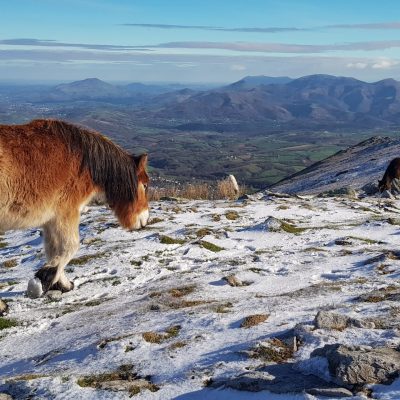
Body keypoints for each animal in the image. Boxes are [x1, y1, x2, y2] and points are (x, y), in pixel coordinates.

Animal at [0, 119, 150, 294]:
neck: (83, 162)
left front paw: (61, 283)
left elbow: (53, 249)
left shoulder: (50, 220)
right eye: (145, 185)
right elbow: (70, 246)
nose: (145, 219)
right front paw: (42, 280)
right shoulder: (66, 212)